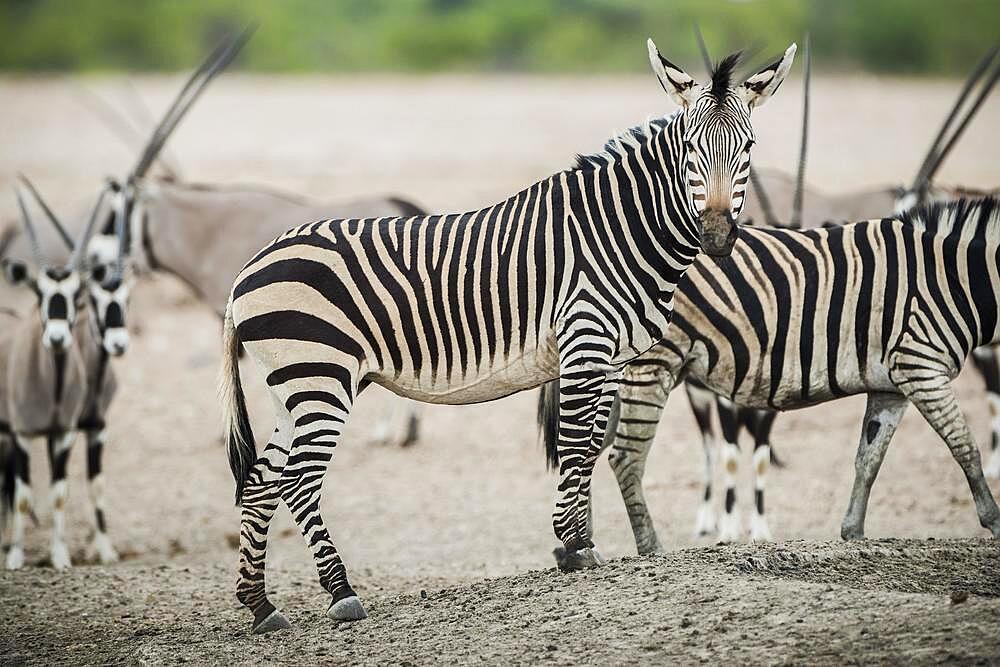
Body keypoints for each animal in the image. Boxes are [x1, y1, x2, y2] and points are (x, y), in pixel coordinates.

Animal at [0, 181, 105, 568]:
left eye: (78, 294)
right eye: (38, 292)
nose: (57, 339)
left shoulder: (63, 434)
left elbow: (58, 493)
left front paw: (60, 556)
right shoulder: (21, 434)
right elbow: (23, 495)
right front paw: (16, 557)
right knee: (9, 487)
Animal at [219, 39, 796, 636]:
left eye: (748, 146)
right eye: (689, 149)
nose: (717, 236)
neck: (621, 231)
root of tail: (247, 271)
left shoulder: (611, 358)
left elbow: (592, 445)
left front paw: (578, 545)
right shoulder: (585, 341)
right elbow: (574, 445)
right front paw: (573, 548)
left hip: (294, 387)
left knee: (260, 481)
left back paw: (260, 604)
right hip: (319, 379)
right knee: (297, 480)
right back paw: (341, 593)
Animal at [544, 196, 1000, 556]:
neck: (956, 279)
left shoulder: (889, 386)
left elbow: (868, 458)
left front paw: (853, 532)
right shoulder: (920, 364)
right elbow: (965, 447)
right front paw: (994, 520)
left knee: (586, 453)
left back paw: (578, 547)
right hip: (652, 364)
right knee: (624, 456)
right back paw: (648, 549)